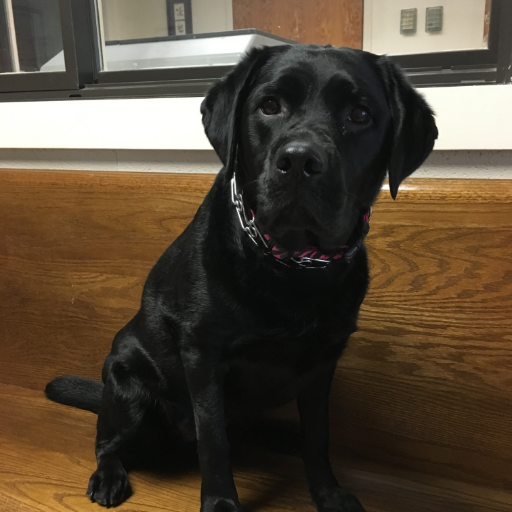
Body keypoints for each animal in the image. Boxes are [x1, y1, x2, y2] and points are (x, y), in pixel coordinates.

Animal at [46, 45, 436, 512]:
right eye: (269, 106)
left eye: (360, 114)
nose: (299, 161)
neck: (291, 265)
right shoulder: (203, 353)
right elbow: (214, 441)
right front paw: (220, 503)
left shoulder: (323, 362)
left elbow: (319, 436)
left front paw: (327, 493)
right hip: (126, 387)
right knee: (109, 442)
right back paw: (108, 475)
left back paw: (281, 435)